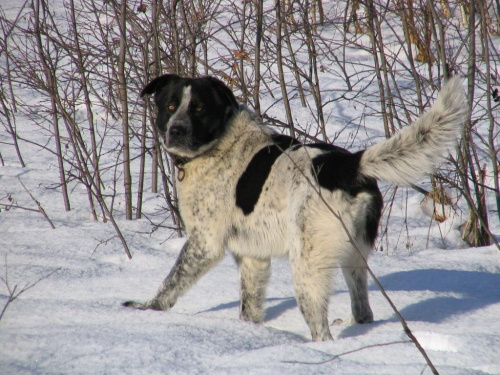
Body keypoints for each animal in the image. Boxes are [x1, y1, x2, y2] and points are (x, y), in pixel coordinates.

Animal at [123, 75, 466, 342]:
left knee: (322, 331)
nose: (176, 130)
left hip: (306, 264)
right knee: (363, 310)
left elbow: (169, 285)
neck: (219, 144)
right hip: (353, 258)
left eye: (198, 108)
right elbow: (249, 308)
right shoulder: (253, 257)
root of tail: (349, 164)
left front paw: (146, 310)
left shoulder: (205, 243)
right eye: (170, 106)